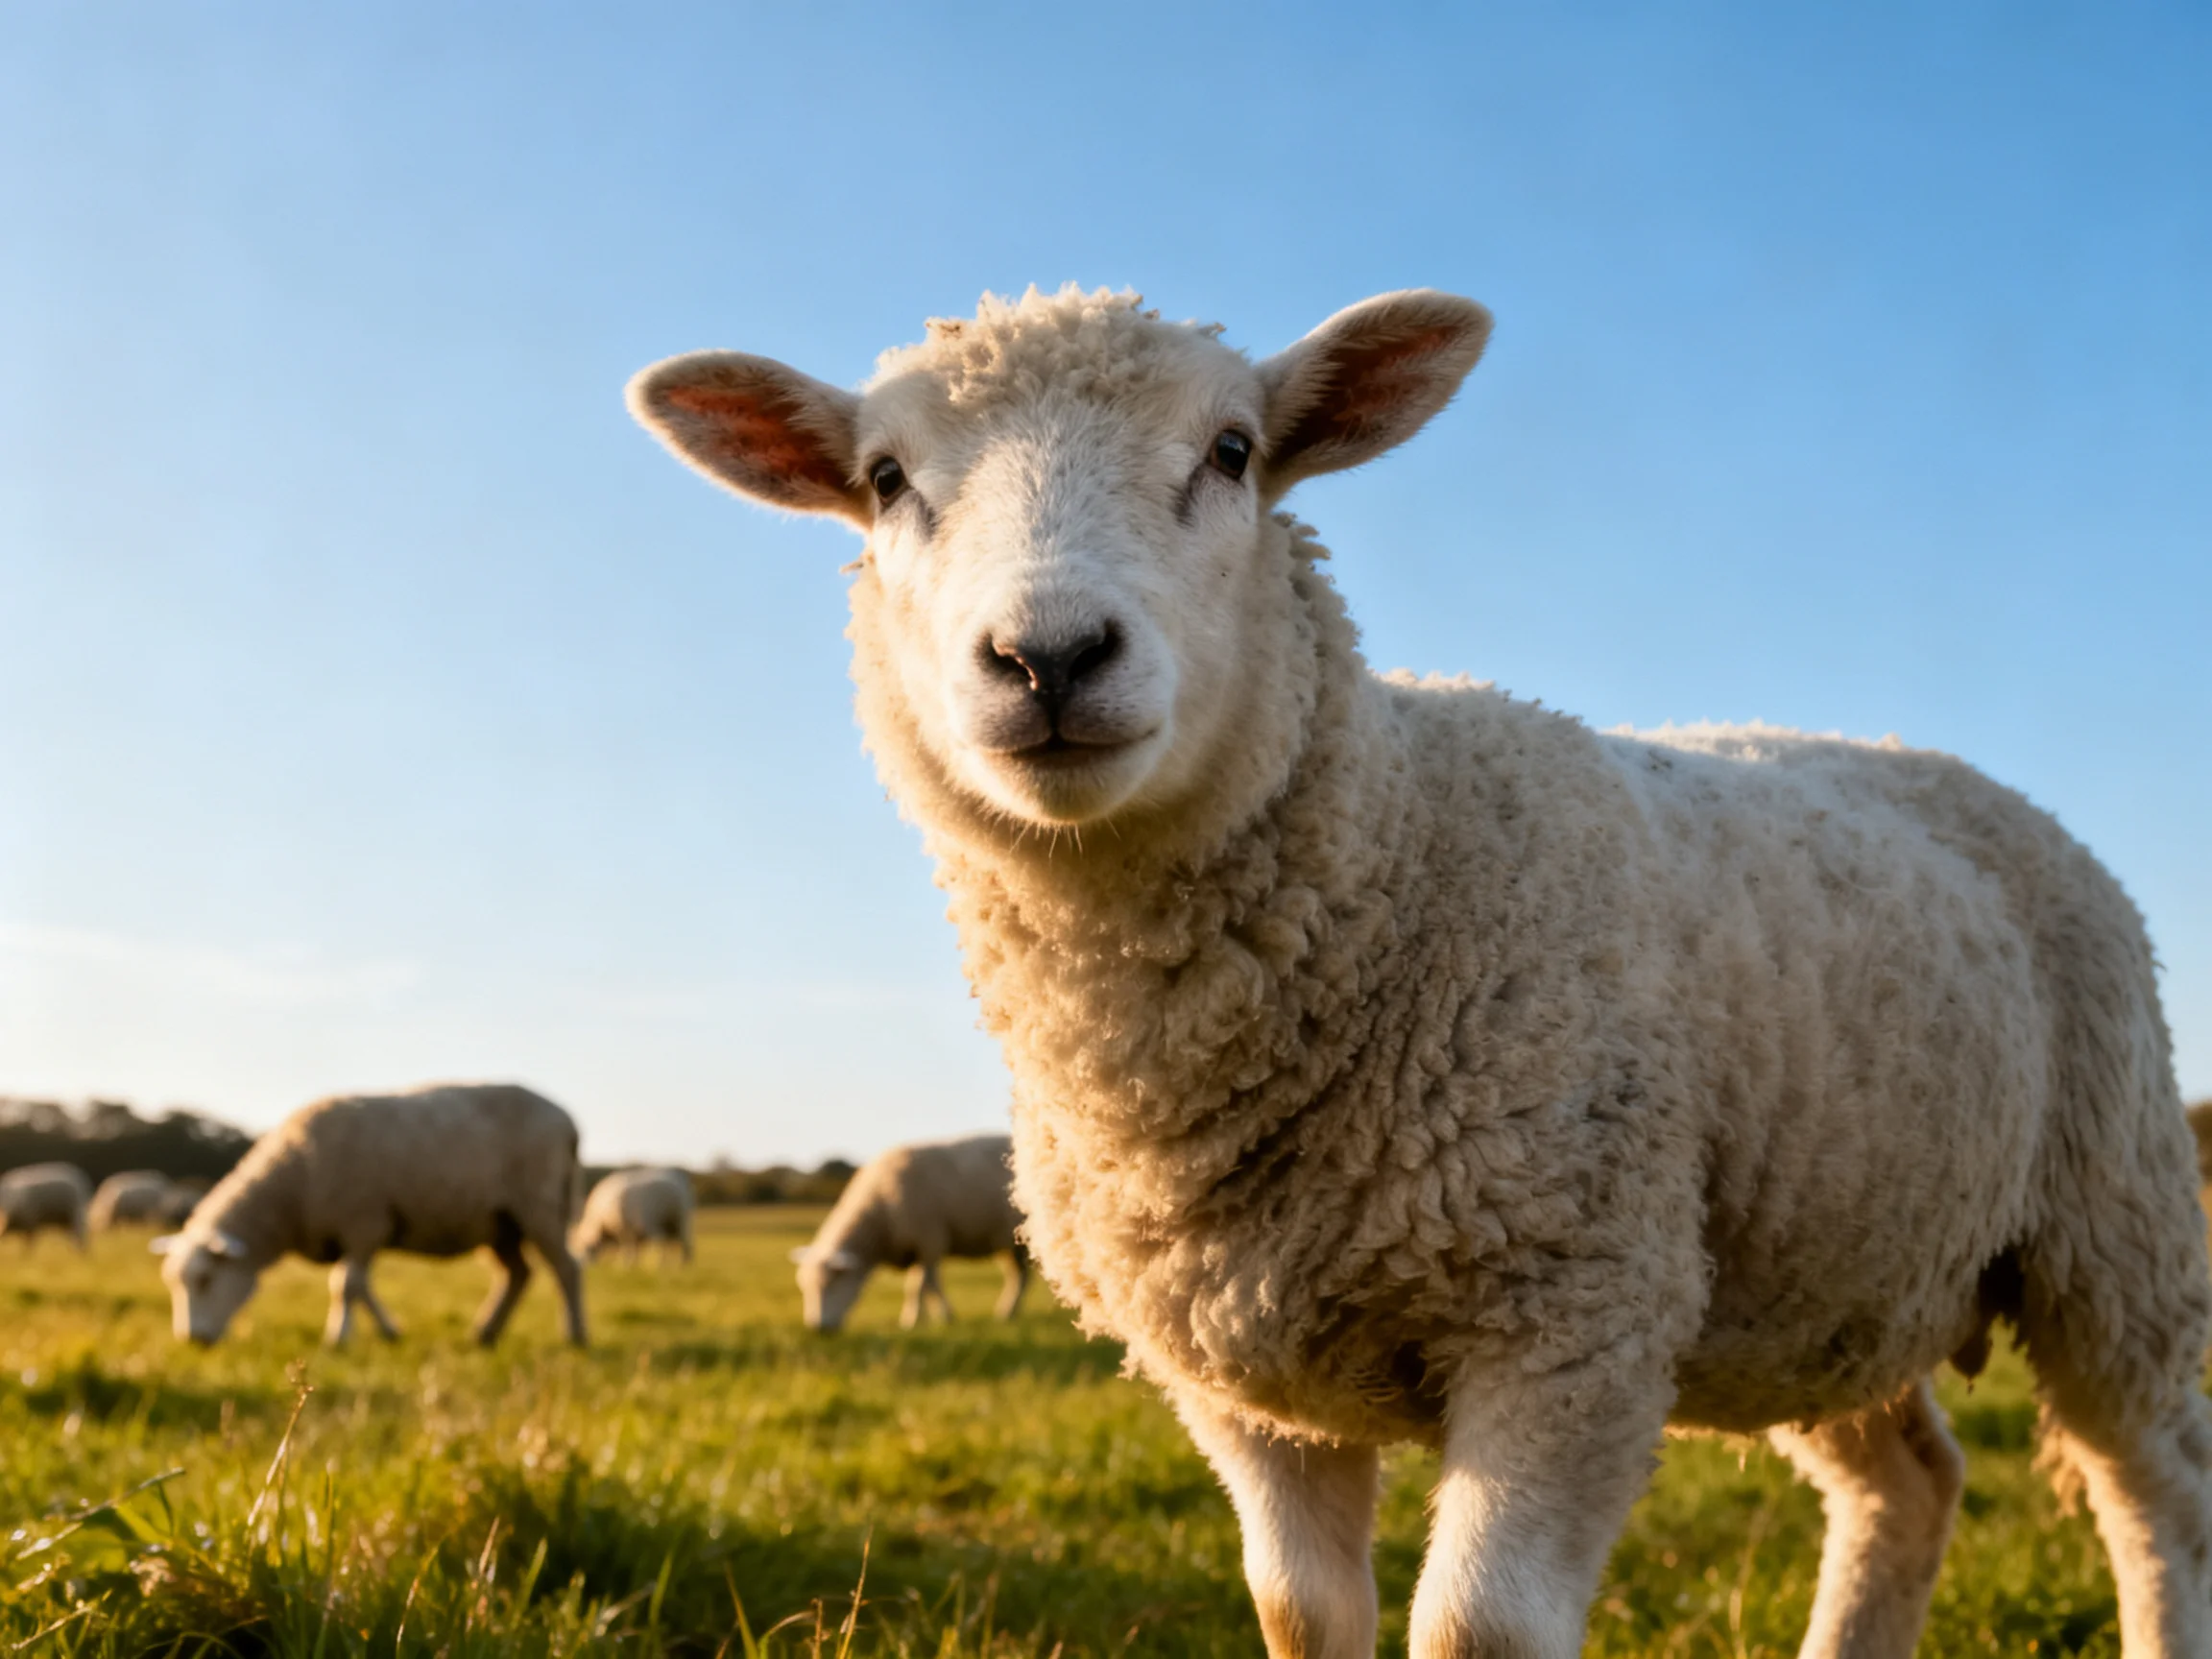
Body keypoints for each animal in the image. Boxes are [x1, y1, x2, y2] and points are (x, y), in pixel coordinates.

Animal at [153, 1082, 587, 1349]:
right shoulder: (358, 1231)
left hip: (541, 1205)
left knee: (567, 1269)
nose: (191, 1340)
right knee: (517, 1275)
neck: (291, 1187)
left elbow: (345, 1285)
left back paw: (575, 1335)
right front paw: (389, 1331)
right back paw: (485, 1333)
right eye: (173, 1282)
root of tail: (566, 1119)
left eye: (205, 1279)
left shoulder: (363, 1222)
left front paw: (338, 1338)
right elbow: (360, 1287)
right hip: (501, 1224)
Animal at [789, 1134, 1027, 1332]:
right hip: (1013, 1246)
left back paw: (1008, 1312)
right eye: (804, 1288)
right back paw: (1008, 1312)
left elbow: (920, 1286)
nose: (818, 1328)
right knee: (1020, 1278)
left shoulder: (930, 1242)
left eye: (831, 1285)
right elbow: (928, 1286)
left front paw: (913, 1321)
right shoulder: (919, 1248)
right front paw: (938, 1316)